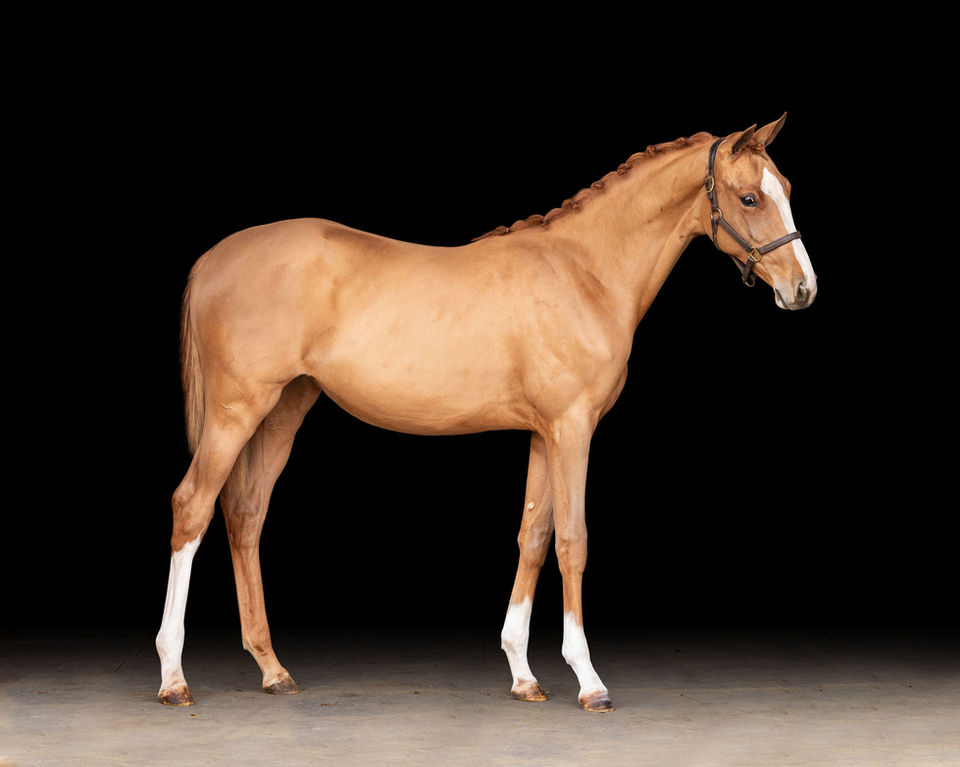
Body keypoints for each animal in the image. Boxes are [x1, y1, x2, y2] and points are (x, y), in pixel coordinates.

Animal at [156, 114, 816, 712]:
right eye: (750, 197)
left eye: (786, 186)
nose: (803, 290)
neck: (584, 272)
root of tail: (213, 257)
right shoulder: (573, 429)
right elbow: (573, 540)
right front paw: (589, 682)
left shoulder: (544, 434)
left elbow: (534, 535)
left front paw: (524, 675)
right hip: (236, 411)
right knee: (193, 507)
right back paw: (174, 678)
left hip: (283, 411)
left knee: (245, 515)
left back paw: (272, 671)